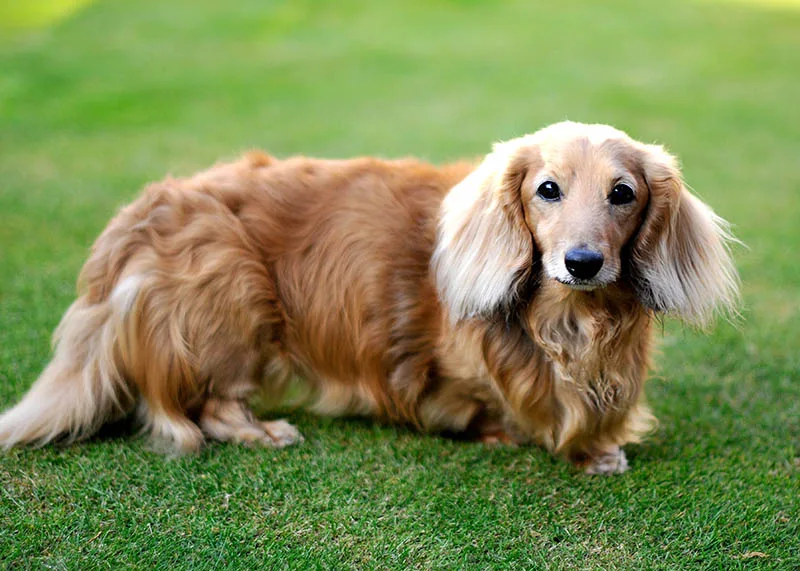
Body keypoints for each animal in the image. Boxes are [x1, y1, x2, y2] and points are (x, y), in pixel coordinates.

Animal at [0, 122, 736, 474]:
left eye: (624, 193)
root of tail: (140, 215)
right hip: (234, 289)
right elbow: (502, 410)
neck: (570, 323)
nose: (582, 263)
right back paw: (262, 430)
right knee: (196, 407)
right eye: (546, 189)